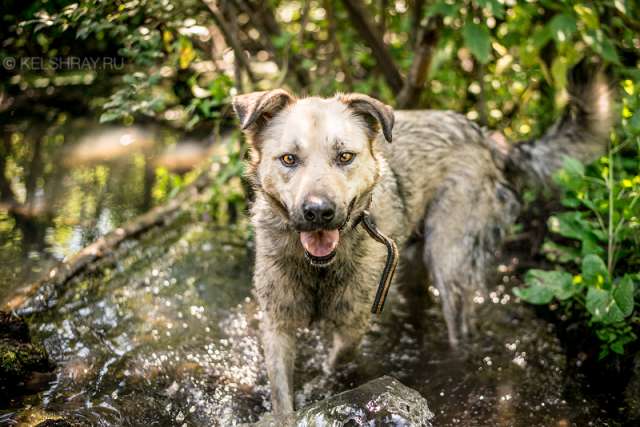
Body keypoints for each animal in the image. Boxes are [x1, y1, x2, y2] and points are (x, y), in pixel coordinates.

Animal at [232, 61, 612, 416]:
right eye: (288, 159)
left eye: (345, 157)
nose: (318, 212)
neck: (318, 268)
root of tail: (485, 137)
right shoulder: (277, 325)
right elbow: (282, 396)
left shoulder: (355, 322)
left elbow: (336, 361)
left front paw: (324, 387)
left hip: (449, 261)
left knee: (460, 325)